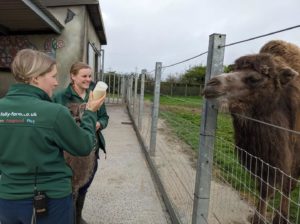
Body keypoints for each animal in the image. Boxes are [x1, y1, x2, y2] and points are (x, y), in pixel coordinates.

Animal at [203, 40, 300, 224]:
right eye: (233, 70)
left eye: (255, 78)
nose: (211, 85)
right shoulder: (265, 155)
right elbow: (264, 186)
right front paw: (257, 217)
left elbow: (287, 185)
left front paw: (280, 218)